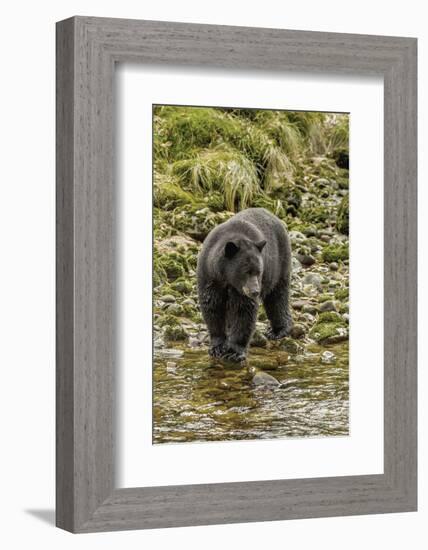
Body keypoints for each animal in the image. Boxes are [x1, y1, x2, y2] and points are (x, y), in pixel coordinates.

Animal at [196, 207, 290, 362]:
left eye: (258, 271)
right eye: (246, 272)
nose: (256, 292)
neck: (226, 278)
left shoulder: (241, 289)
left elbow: (243, 310)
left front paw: (234, 352)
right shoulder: (209, 276)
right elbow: (212, 306)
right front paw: (217, 347)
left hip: (280, 263)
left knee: (278, 296)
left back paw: (278, 330)